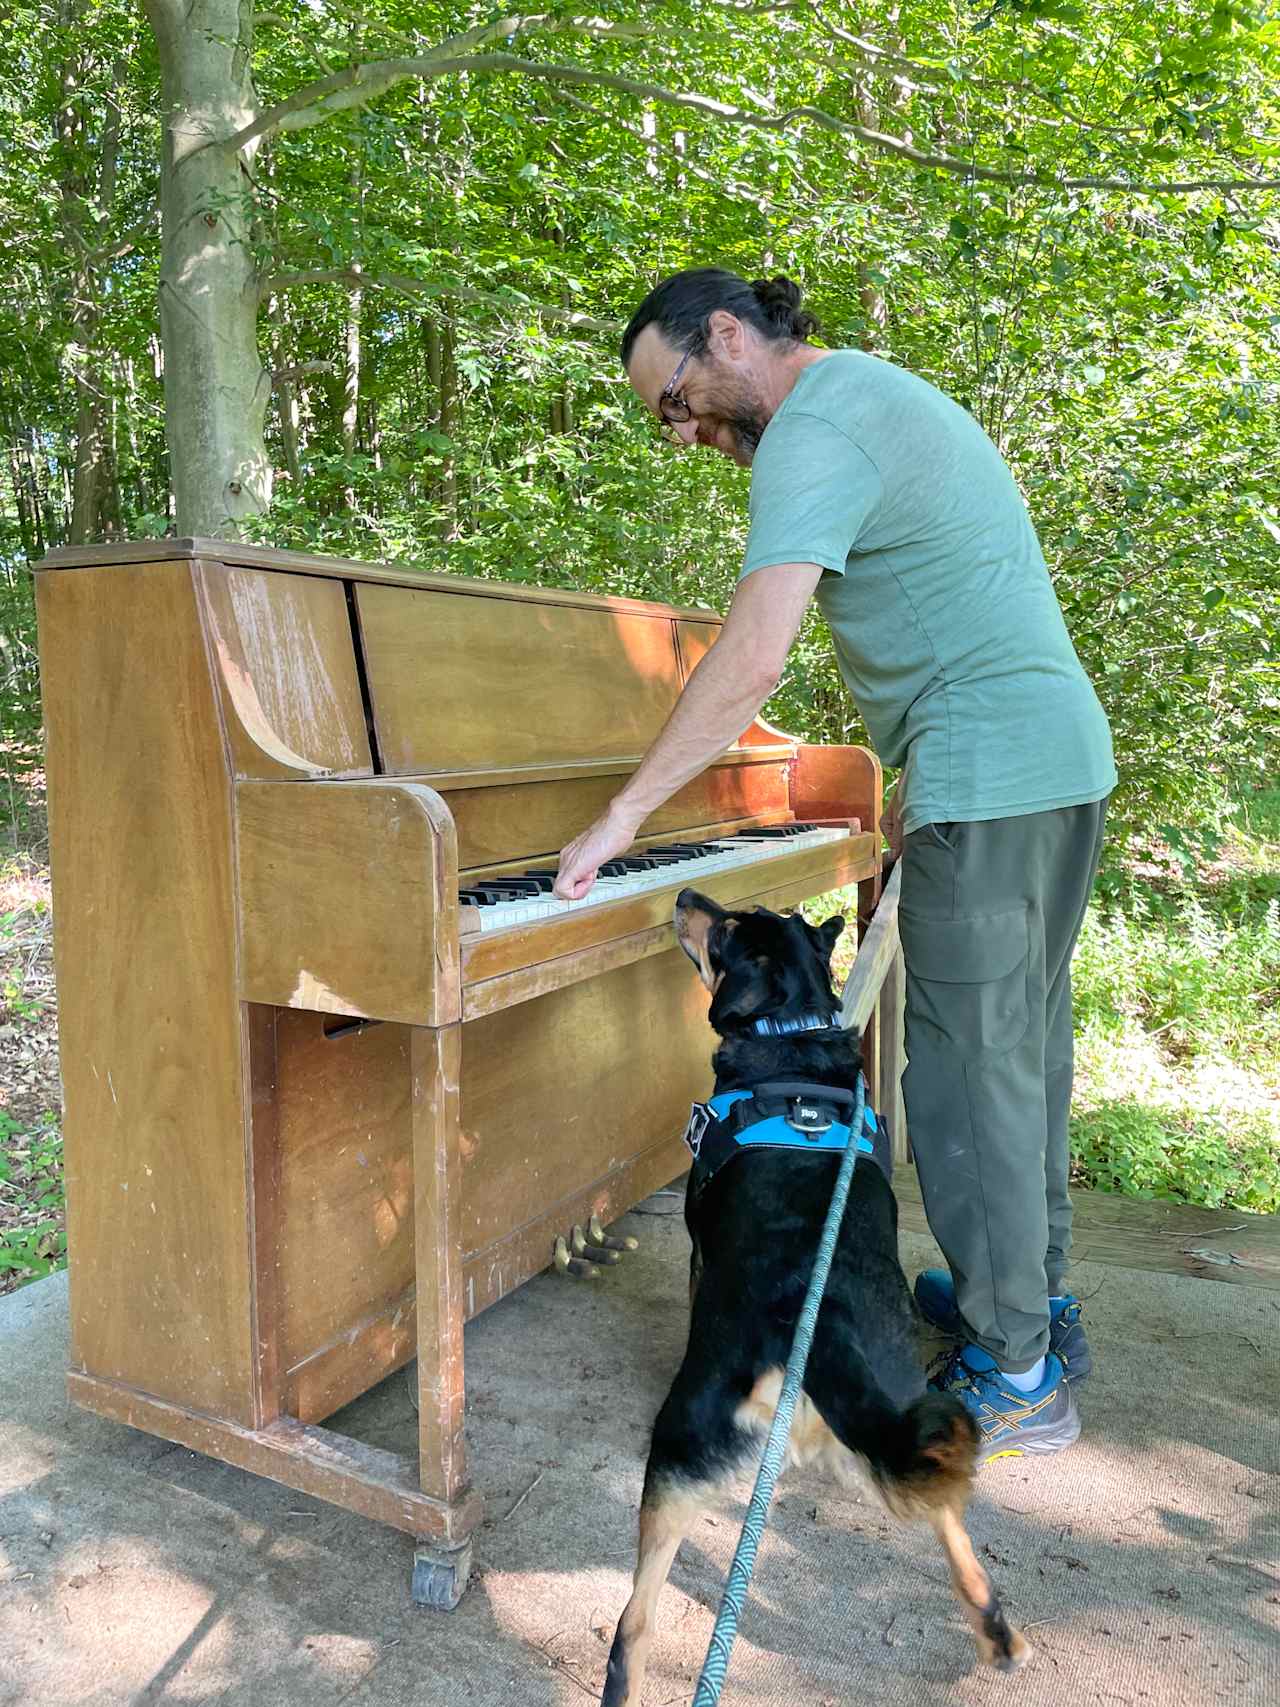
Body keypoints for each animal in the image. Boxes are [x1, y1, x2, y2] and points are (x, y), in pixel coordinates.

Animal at [600, 887, 1030, 1700]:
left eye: (727, 931)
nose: (685, 894)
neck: (791, 1031)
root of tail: (819, 1334)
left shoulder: (699, 1242)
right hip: (908, 1419)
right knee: (956, 1533)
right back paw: (998, 1634)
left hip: (674, 1462)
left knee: (633, 1624)